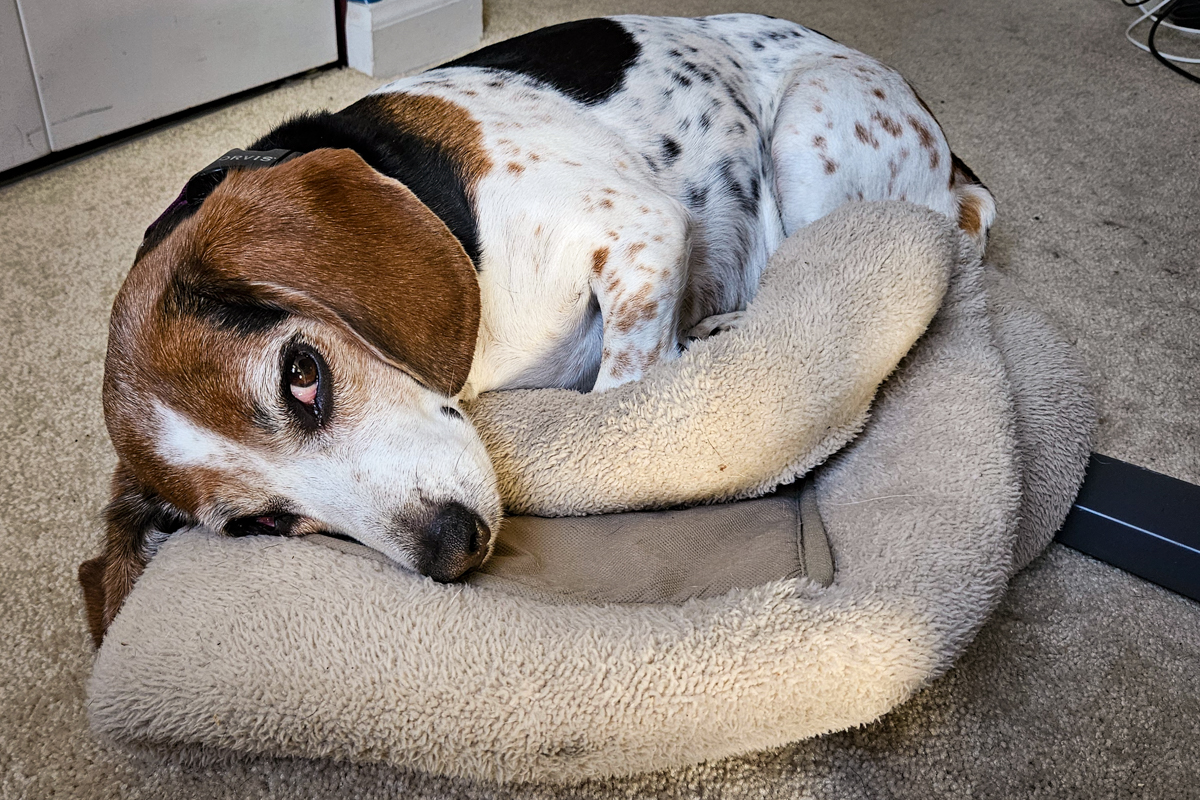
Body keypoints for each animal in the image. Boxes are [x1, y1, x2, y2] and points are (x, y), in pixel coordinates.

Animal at [79, 14, 995, 645]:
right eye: (259, 528)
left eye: (302, 376)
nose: (451, 548)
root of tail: (954, 163)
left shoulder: (643, 233)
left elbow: (622, 394)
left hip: (812, 129)